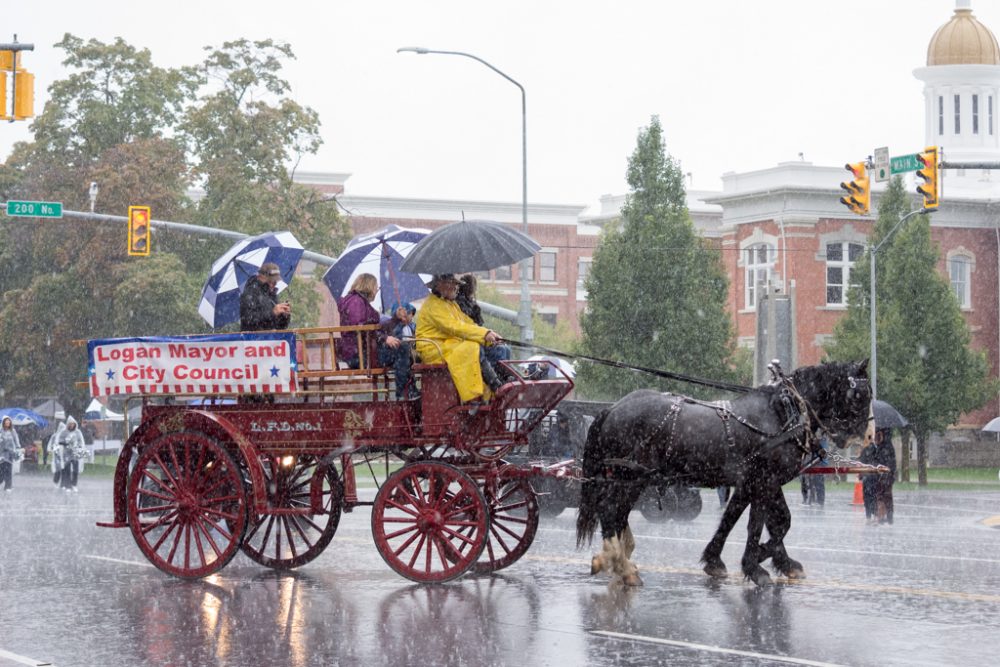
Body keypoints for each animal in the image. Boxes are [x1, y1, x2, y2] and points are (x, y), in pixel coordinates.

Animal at [576, 362, 872, 588]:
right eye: (860, 395)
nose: (869, 436)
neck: (781, 415)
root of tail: (611, 409)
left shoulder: (755, 483)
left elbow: (761, 521)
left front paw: (726, 560)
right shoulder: (763, 480)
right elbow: (758, 525)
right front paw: (756, 565)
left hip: (628, 478)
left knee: (616, 515)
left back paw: (615, 560)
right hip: (630, 477)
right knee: (610, 511)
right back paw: (621, 566)